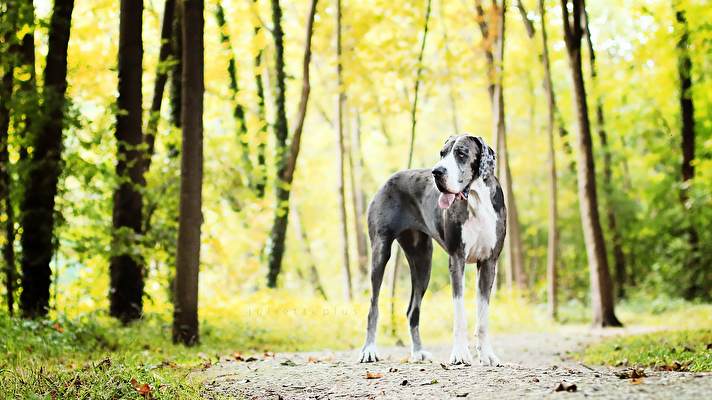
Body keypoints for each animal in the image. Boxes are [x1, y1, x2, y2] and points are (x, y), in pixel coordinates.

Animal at [358, 134, 504, 366]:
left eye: (461, 153)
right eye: (442, 154)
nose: (437, 171)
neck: (476, 198)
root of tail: (388, 180)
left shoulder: (489, 262)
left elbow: (483, 317)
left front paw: (487, 355)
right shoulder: (457, 259)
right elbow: (459, 314)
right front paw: (460, 354)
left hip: (423, 262)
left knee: (412, 311)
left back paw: (418, 352)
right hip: (380, 253)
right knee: (374, 305)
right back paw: (369, 350)